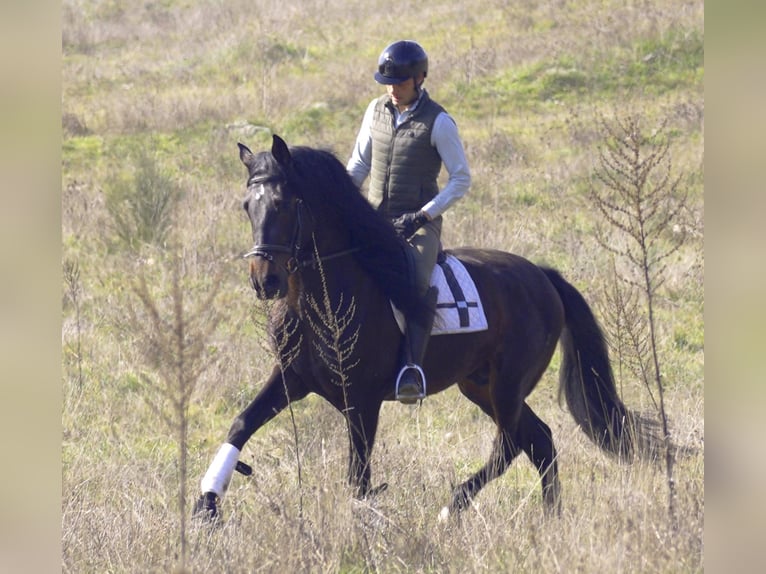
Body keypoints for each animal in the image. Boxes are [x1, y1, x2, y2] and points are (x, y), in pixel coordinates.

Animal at [195, 135, 656, 520]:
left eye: (284, 204)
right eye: (247, 206)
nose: (264, 280)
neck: (322, 296)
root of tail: (543, 276)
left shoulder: (362, 400)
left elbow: (358, 475)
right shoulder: (292, 377)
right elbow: (241, 424)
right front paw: (207, 504)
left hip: (508, 383)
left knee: (510, 443)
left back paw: (453, 507)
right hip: (479, 384)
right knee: (538, 440)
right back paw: (550, 518)